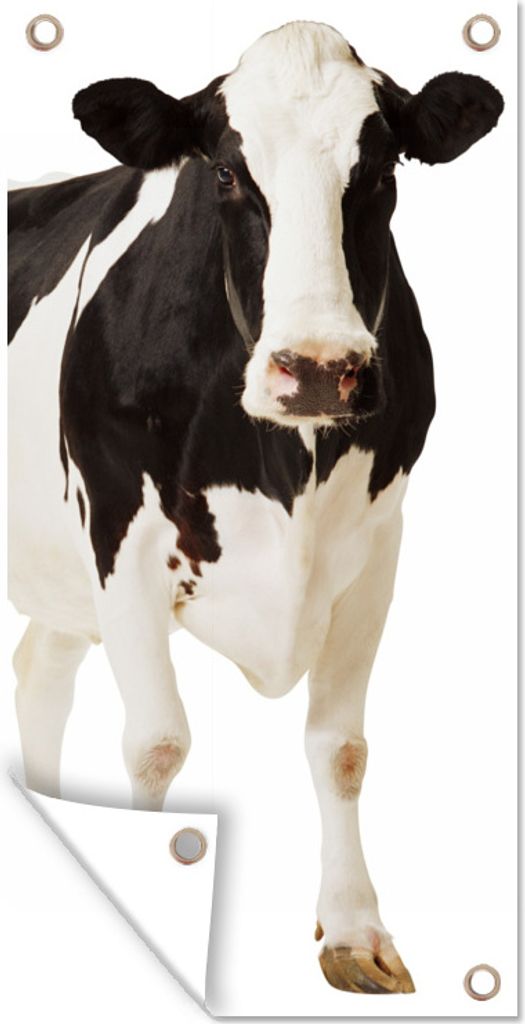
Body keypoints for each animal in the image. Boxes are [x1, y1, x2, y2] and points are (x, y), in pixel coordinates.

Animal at [8, 20, 503, 995]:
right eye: (228, 174)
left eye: (379, 169)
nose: (316, 368)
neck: (283, 466)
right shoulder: (119, 534)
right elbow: (156, 742)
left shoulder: (377, 546)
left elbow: (340, 747)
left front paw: (353, 931)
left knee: (41, 669)